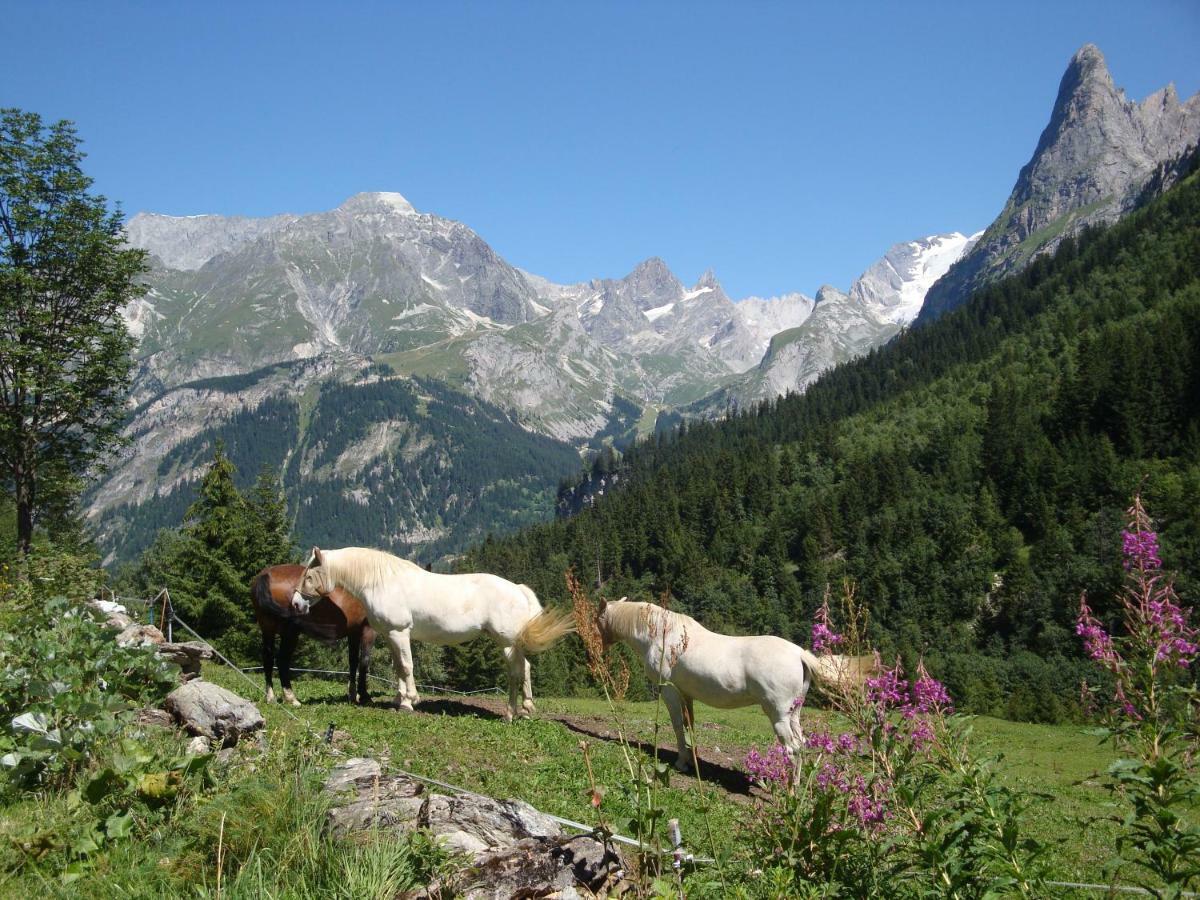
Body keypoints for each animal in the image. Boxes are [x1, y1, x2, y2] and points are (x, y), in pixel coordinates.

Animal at [255, 564, 376, 705]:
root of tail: (267, 574)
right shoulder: (368, 630)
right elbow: (364, 661)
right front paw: (364, 696)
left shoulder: (354, 632)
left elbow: (353, 661)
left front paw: (352, 695)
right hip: (290, 633)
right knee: (282, 660)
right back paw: (291, 698)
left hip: (267, 629)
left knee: (268, 658)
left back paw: (270, 697)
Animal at [289, 547, 571, 724]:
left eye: (309, 576)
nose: (295, 604)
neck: (381, 581)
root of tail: (518, 589)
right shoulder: (391, 636)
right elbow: (398, 668)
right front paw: (399, 699)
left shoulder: (399, 632)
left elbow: (406, 666)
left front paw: (410, 701)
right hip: (513, 644)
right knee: (525, 668)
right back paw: (525, 709)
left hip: (507, 643)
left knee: (515, 672)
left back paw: (510, 713)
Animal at [597, 600, 864, 777]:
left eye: (598, 619)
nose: (600, 649)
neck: (663, 635)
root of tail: (799, 653)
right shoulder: (686, 694)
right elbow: (689, 724)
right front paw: (693, 760)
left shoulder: (670, 691)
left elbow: (677, 726)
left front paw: (681, 762)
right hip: (794, 714)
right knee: (802, 744)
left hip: (778, 715)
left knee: (792, 748)